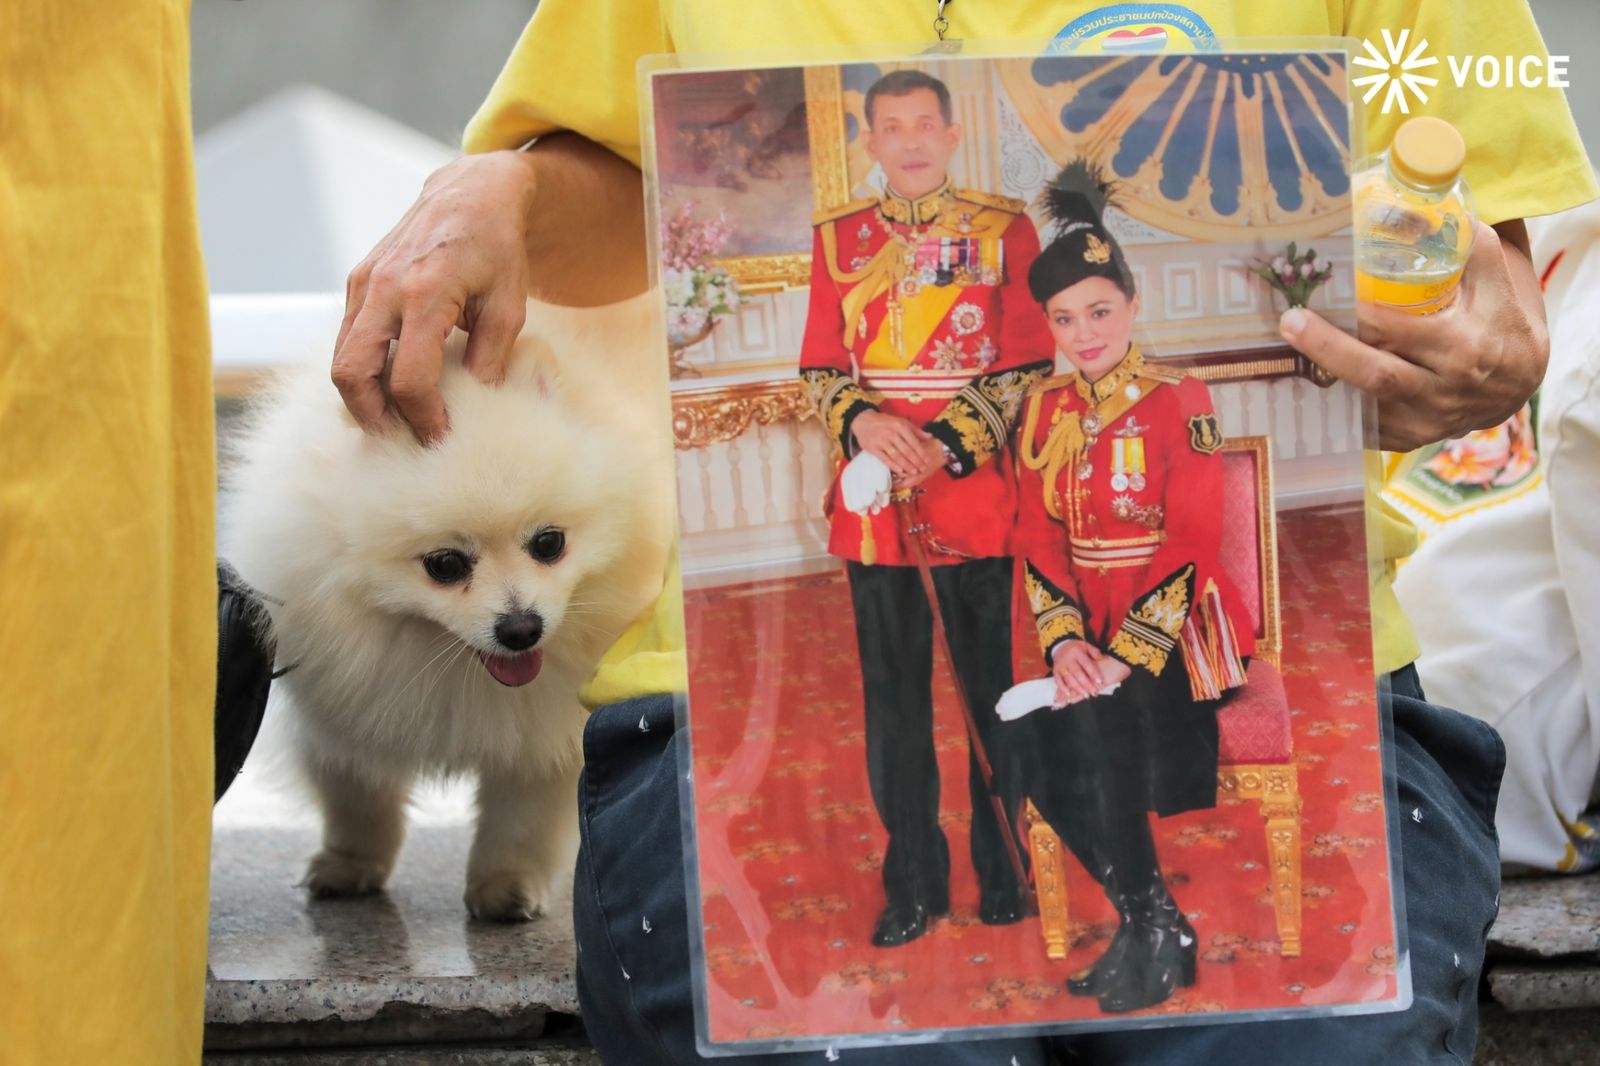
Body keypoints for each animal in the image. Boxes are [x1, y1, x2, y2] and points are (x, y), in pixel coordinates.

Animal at [222, 294, 672, 915]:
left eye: (549, 544)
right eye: (445, 565)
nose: (520, 628)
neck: (452, 670)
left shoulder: (544, 732)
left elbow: (521, 819)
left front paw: (505, 885)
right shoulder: (343, 707)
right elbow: (357, 796)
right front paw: (350, 863)